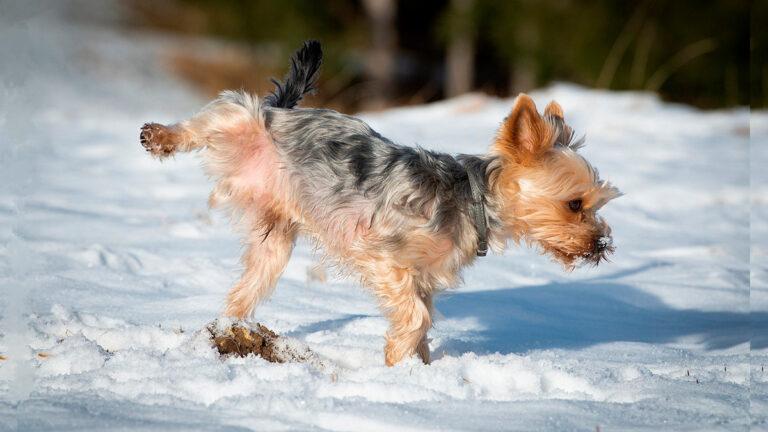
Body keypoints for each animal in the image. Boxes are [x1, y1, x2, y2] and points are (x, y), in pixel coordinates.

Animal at [138, 40, 620, 366]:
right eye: (574, 204)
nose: (601, 245)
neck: (473, 201)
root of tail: (284, 110)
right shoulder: (383, 256)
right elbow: (416, 316)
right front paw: (396, 360)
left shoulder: (423, 277)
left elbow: (421, 318)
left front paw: (417, 371)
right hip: (243, 119)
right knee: (215, 114)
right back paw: (160, 136)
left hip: (274, 240)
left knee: (248, 285)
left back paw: (229, 328)